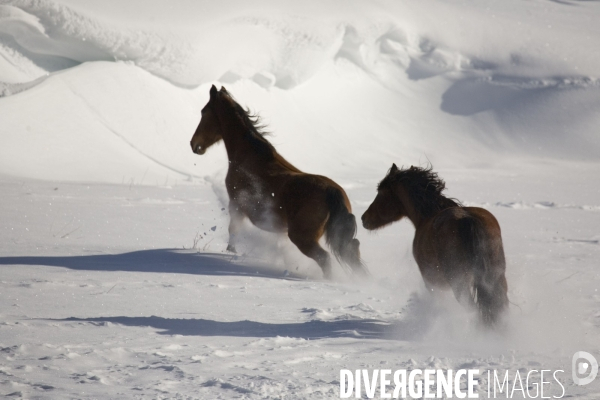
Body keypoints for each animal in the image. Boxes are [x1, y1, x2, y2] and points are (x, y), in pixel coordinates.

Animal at [189, 84, 366, 278]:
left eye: (204, 112)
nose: (194, 144)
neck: (249, 156)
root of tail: (332, 192)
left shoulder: (236, 205)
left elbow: (233, 232)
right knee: (353, 251)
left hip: (302, 237)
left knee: (325, 258)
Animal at [360, 164, 506, 326]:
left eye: (381, 193)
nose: (363, 218)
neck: (427, 216)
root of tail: (468, 219)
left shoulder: (431, 282)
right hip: (496, 278)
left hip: (459, 283)